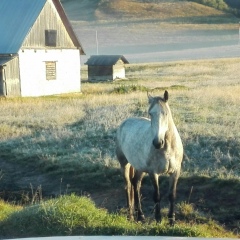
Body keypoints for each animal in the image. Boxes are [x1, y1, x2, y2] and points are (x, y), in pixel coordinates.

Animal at [116, 91, 182, 226]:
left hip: (140, 168)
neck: (168, 148)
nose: (157, 143)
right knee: (128, 186)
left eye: (165, 113)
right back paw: (131, 215)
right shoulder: (153, 173)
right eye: (150, 113)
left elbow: (172, 195)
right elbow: (157, 195)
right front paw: (158, 219)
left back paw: (140, 215)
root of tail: (124, 123)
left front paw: (171, 220)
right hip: (124, 164)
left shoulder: (175, 172)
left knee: (136, 184)